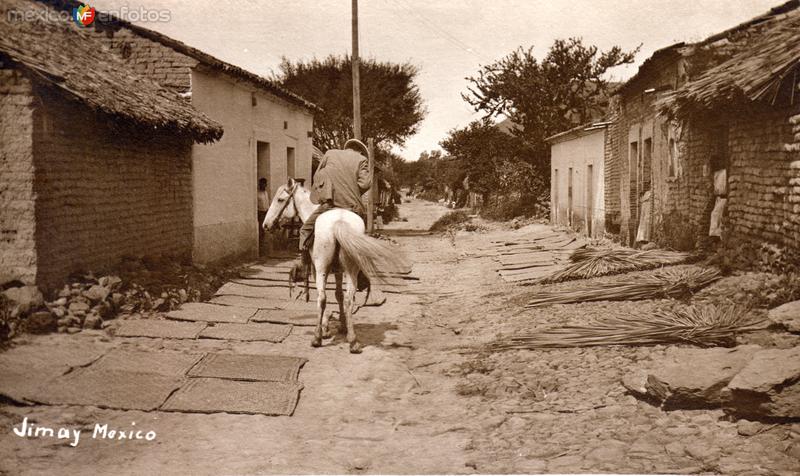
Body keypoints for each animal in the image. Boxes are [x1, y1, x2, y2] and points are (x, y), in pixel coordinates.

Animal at [264, 177, 410, 352]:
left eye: (280, 200)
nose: (266, 225)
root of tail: (339, 221)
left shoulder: (317, 270)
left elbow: (327, 297)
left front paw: (326, 328)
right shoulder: (339, 271)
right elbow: (339, 295)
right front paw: (343, 325)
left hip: (321, 268)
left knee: (321, 298)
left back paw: (317, 338)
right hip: (351, 269)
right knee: (349, 299)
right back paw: (353, 341)